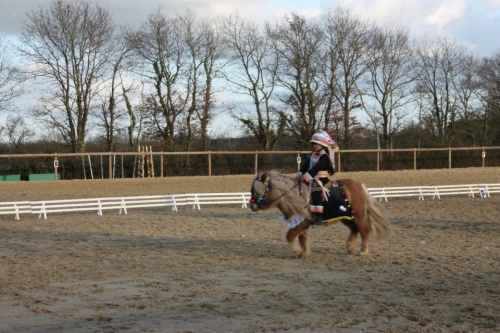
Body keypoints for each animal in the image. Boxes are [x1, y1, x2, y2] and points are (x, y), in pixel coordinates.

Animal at [250, 170, 390, 258]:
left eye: (257, 189)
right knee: (354, 229)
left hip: (359, 215)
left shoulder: (304, 221)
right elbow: (301, 238)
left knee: (364, 231)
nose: (251, 205)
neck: (294, 195)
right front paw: (303, 253)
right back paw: (350, 246)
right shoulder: (300, 222)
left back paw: (363, 251)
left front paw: (298, 251)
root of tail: (359, 185)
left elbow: (290, 236)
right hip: (347, 217)